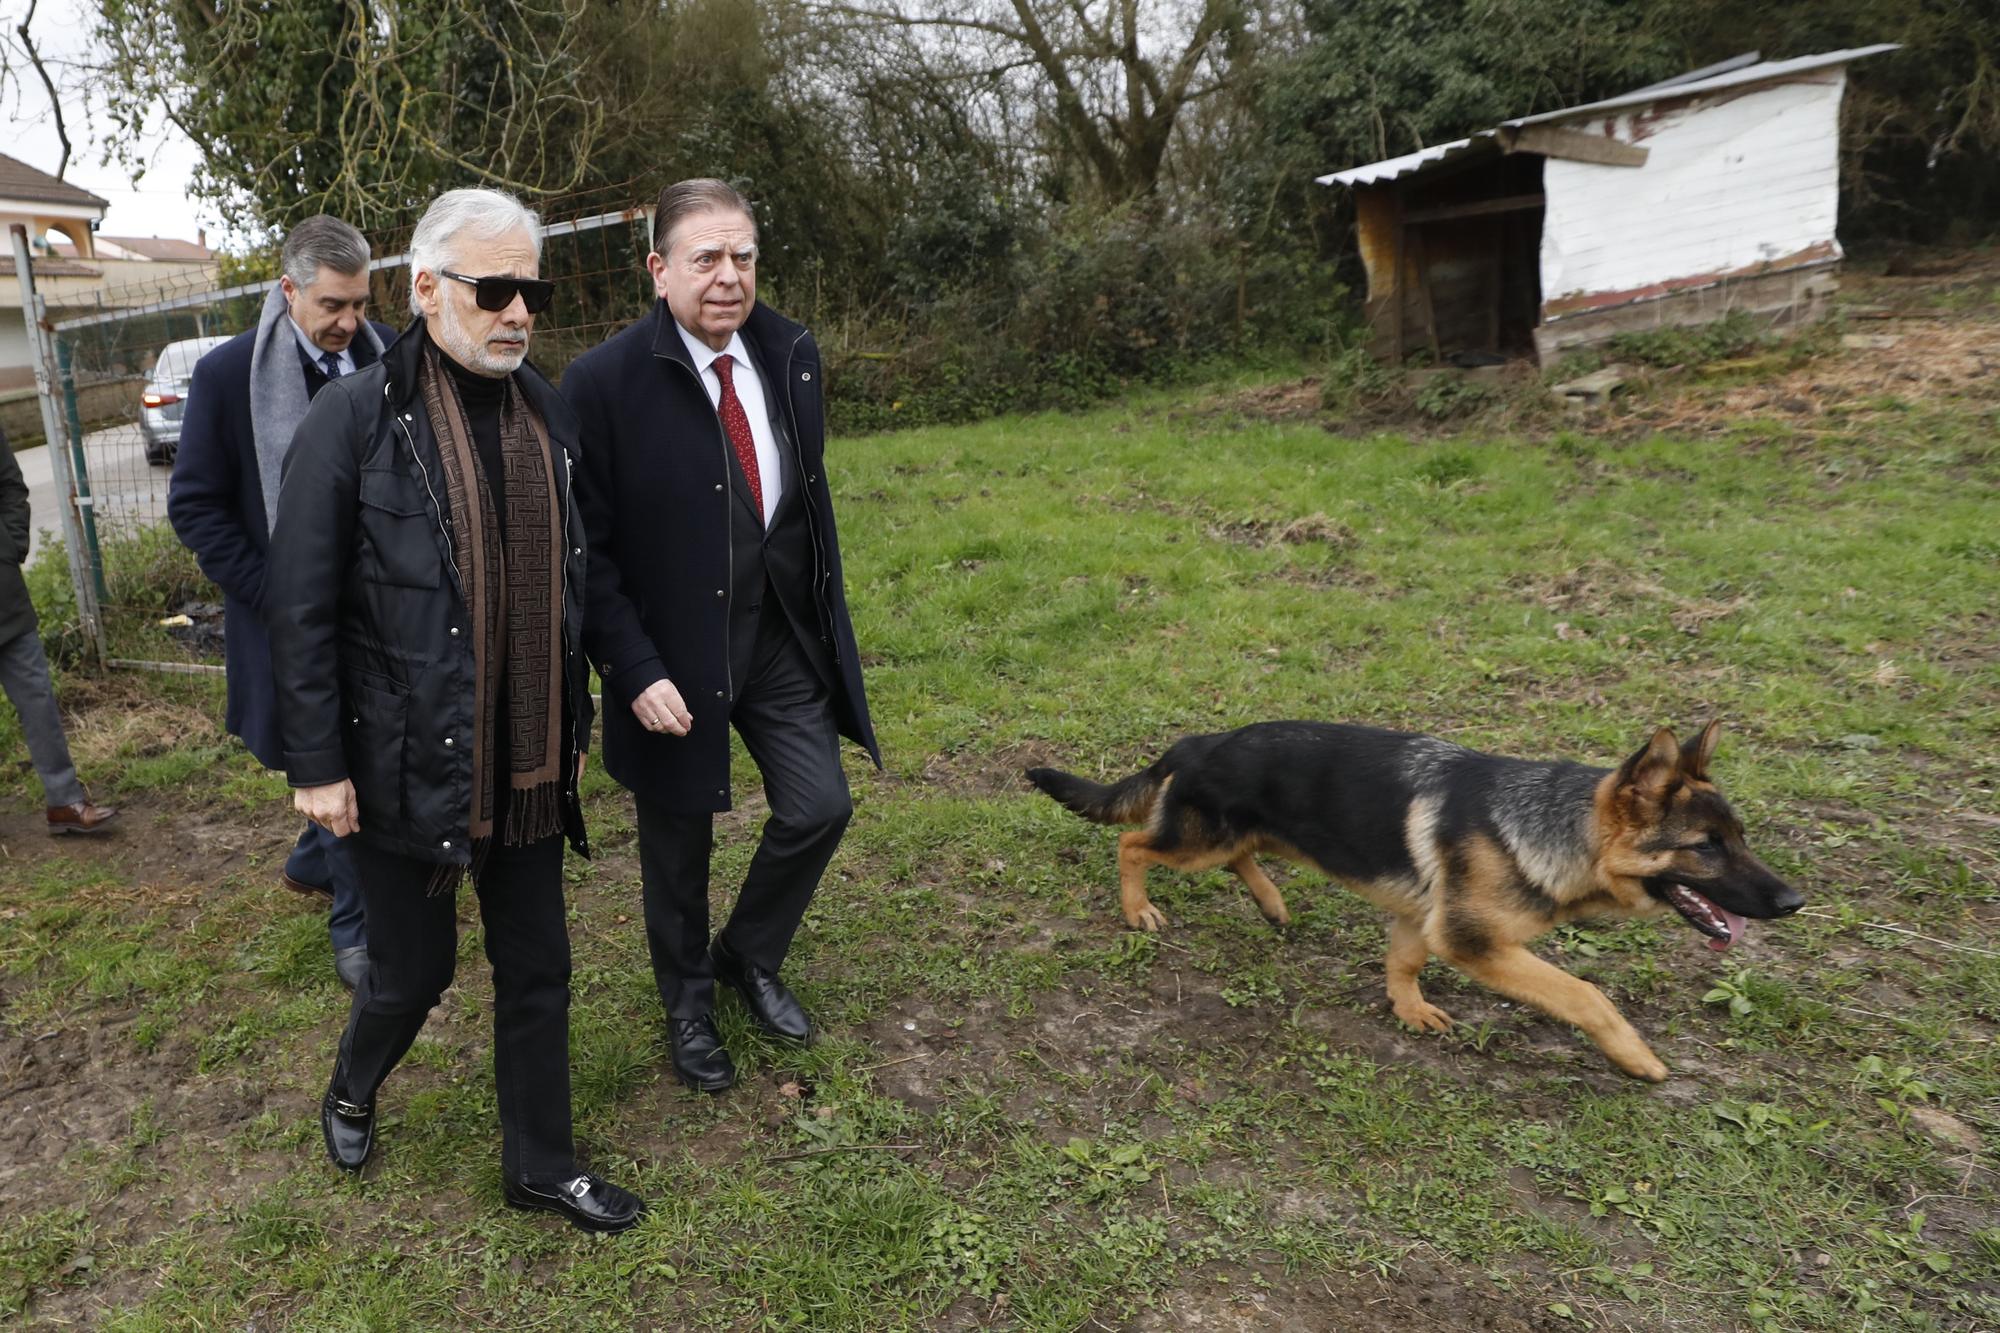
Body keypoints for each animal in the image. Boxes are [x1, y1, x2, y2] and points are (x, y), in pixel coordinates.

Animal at [1040, 716, 1808, 1080]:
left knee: (1239, 856)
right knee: (1132, 844)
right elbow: (1588, 994)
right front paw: (1635, 1056)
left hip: (1238, 836)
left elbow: (1404, 962)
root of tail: (1199, 739)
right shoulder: (1473, 939)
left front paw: (1407, 1009)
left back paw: (1272, 903)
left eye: (1740, 838)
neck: (1557, 828)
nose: (1794, 901)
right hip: (1195, 842)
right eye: (1706, 847)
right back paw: (1138, 907)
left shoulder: (1424, 919)